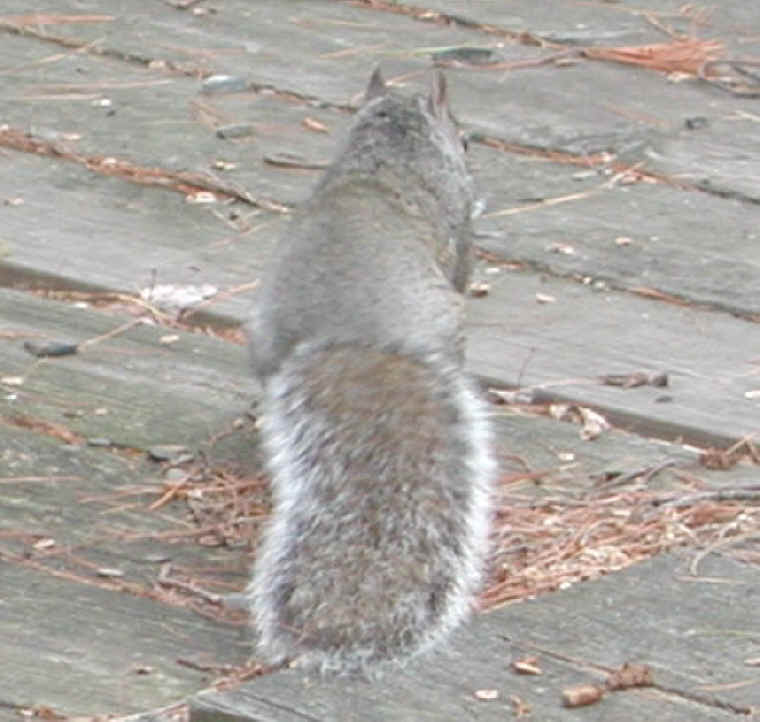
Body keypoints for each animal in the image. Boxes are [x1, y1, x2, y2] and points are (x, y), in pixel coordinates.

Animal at [245, 68, 495, 676]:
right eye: (464, 140)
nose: (469, 147)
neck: (386, 152)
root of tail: (356, 332)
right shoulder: (458, 232)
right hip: (449, 325)